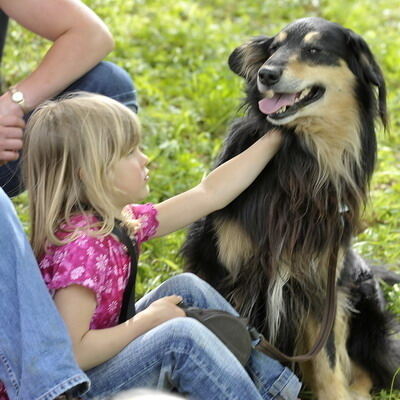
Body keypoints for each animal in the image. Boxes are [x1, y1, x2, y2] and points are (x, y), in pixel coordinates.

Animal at [182, 17, 400, 398]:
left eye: (314, 50)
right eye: (274, 48)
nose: (266, 75)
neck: (300, 161)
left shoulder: (321, 284)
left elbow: (328, 361)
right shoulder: (223, 270)